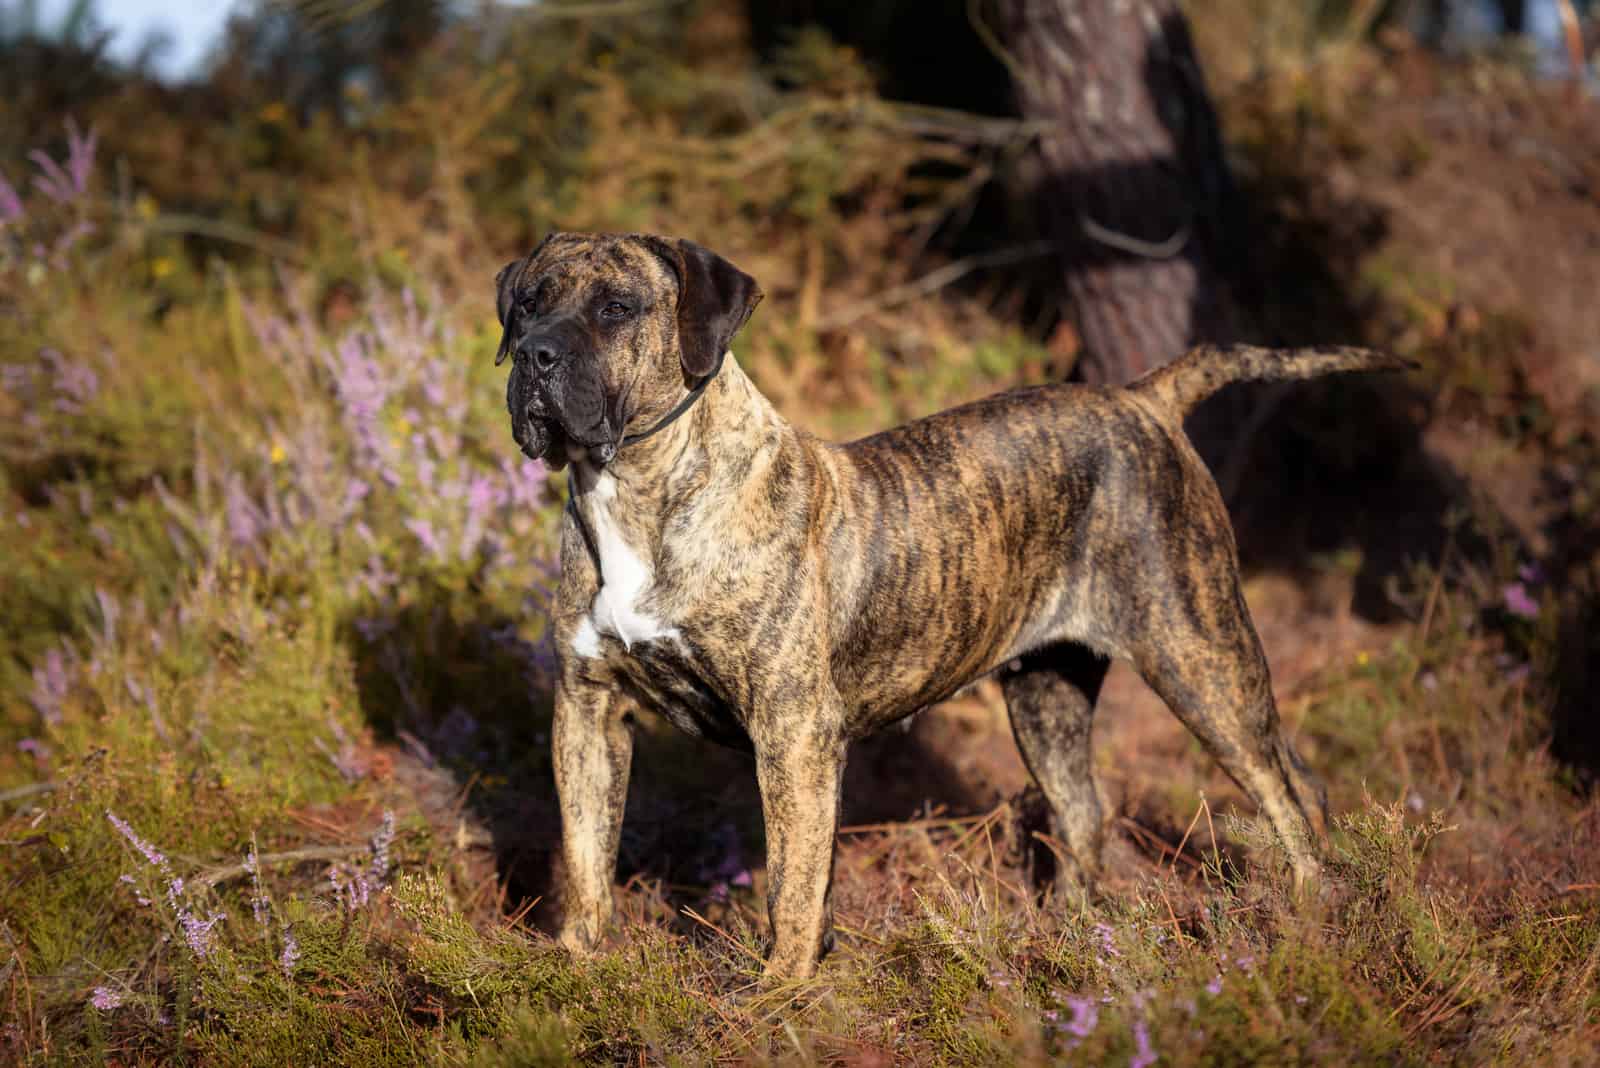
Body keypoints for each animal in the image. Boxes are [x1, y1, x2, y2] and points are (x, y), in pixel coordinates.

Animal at [496, 230, 1414, 978]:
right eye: (528, 301)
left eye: (617, 308)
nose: (534, 355)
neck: (635, 488)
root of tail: (1145, 398)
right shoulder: (587, 708)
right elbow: (587, 853)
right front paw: (571, 969)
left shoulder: (792, 732)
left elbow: (793, 881)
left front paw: (777, 994)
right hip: (1048, 694)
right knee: (1089, 812)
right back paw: (1075, 943)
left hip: (1199, 655)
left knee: (1287, 789)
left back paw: (1308, 921)